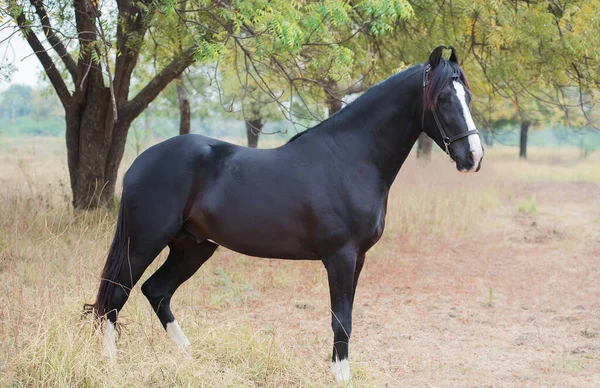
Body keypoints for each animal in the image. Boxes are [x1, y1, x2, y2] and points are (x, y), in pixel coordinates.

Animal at [88, 46, 482, 384]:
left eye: (468, 97)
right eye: (444, 98)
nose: (473, 157)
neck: (350, 159)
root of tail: (138, 164)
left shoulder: (358, 259)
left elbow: (347, 317)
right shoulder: (340, 257)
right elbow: (342, 320)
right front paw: (341, 377)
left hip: (193, 246)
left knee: (156, 291)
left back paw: (189, 356)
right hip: (142, 242)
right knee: (115, 298)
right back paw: (110, 365)